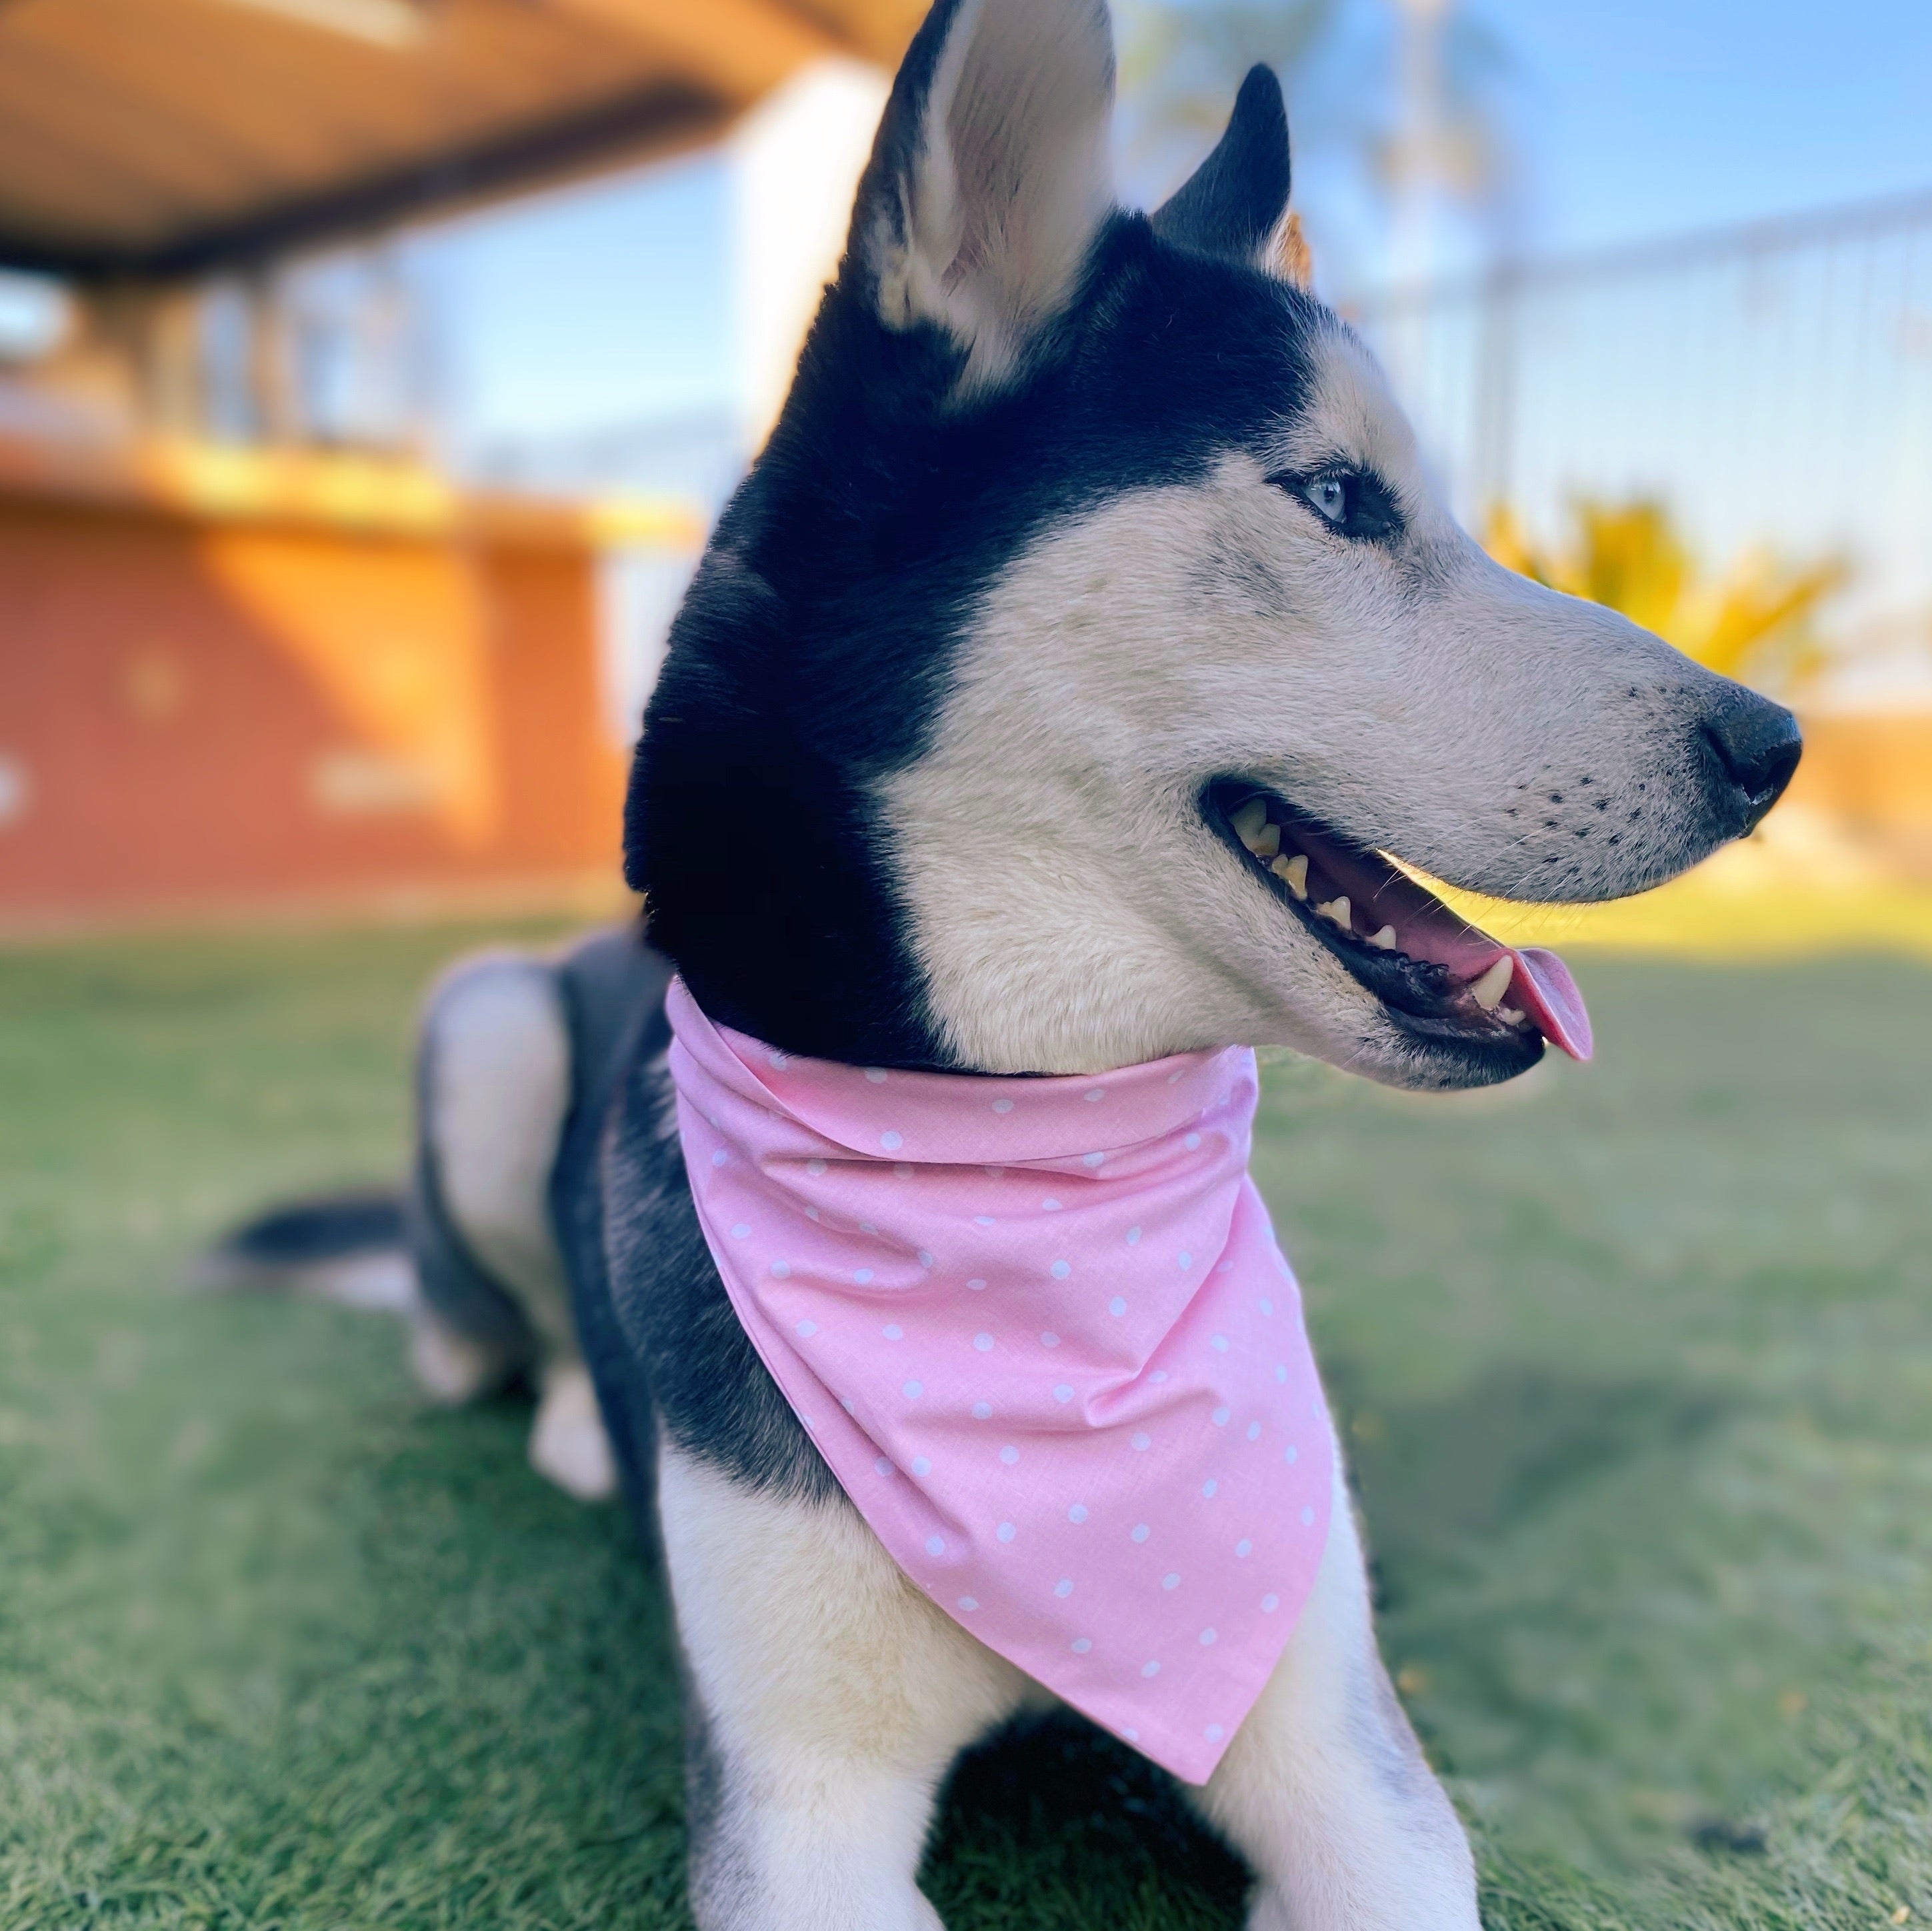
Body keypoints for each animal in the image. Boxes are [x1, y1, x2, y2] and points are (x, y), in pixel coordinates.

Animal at [233, 7, 1800, 1923]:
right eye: (1337, 497)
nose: (1774, 746)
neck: (1020, 1150)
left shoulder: (1346, 1754)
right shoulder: (800, 1810)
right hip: (485, 1027)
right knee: (474, 1328)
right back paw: (584, 1425)